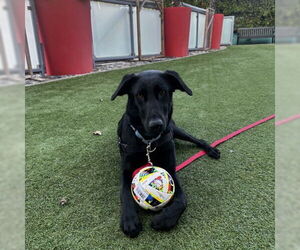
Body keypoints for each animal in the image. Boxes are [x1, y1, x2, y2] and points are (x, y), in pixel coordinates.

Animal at [111, 69, 219, 237]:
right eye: (139, 95)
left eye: (162, 92)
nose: (156, 125)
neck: (148, 142)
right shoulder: (126, 172)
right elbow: (126, 195)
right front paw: (129, 219)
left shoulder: (171, 172)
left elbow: (182, 201)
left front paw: (164, 220)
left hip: (175, 129)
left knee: (197, 139)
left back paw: (211, 149)